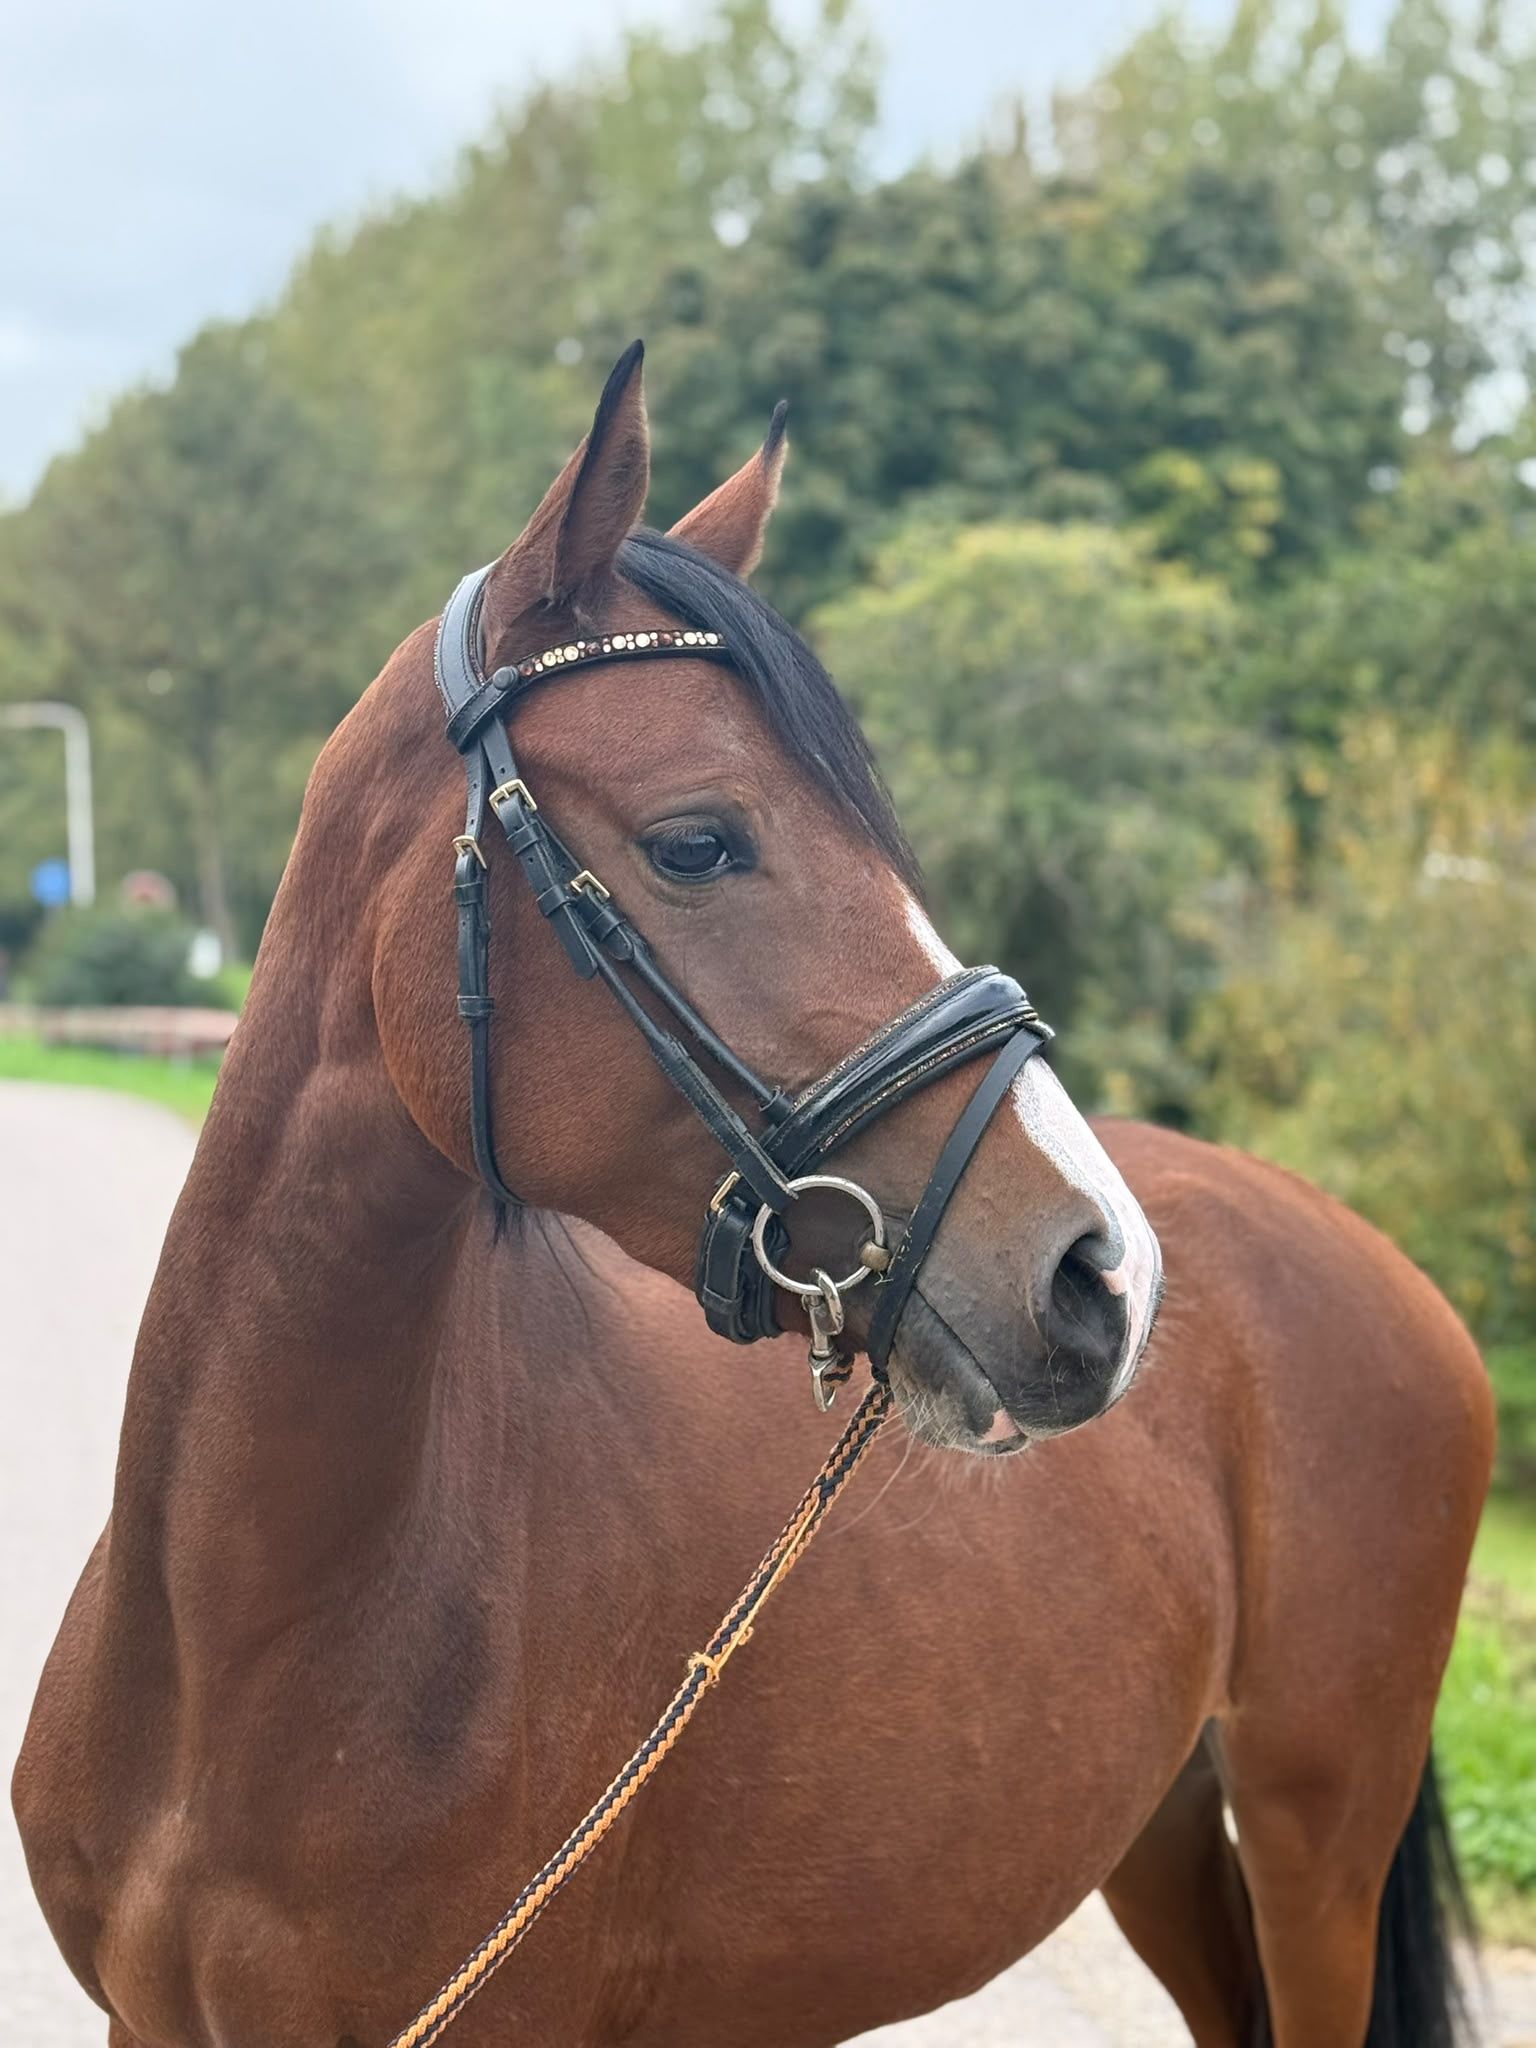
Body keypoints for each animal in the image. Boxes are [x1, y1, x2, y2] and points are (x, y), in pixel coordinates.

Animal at [14, 345, 1493, 2048]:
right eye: (698, 842)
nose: (1101, 1272)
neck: (238, 1654)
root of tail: (1369, 1258)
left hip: (1320, 1845)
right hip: (1171, 1840)